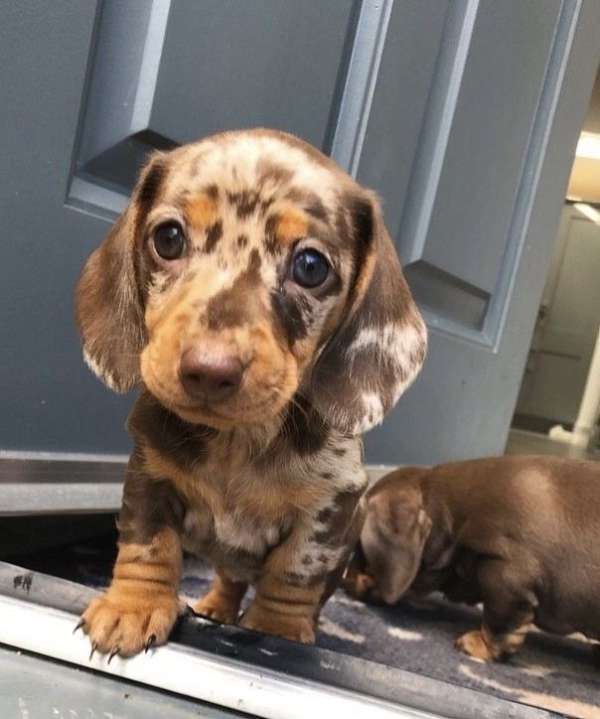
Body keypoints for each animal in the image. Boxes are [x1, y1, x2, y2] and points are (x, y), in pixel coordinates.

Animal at [75, 129, 428, 660]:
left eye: (310, 266)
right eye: (168, 238)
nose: (209, 370)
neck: (237, 441)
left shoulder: (328, 506)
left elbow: (293, 573)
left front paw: (276, 633)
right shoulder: (148, 474)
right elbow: (148, 545)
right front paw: (133, 607)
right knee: (230, 578)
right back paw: (217, 606)